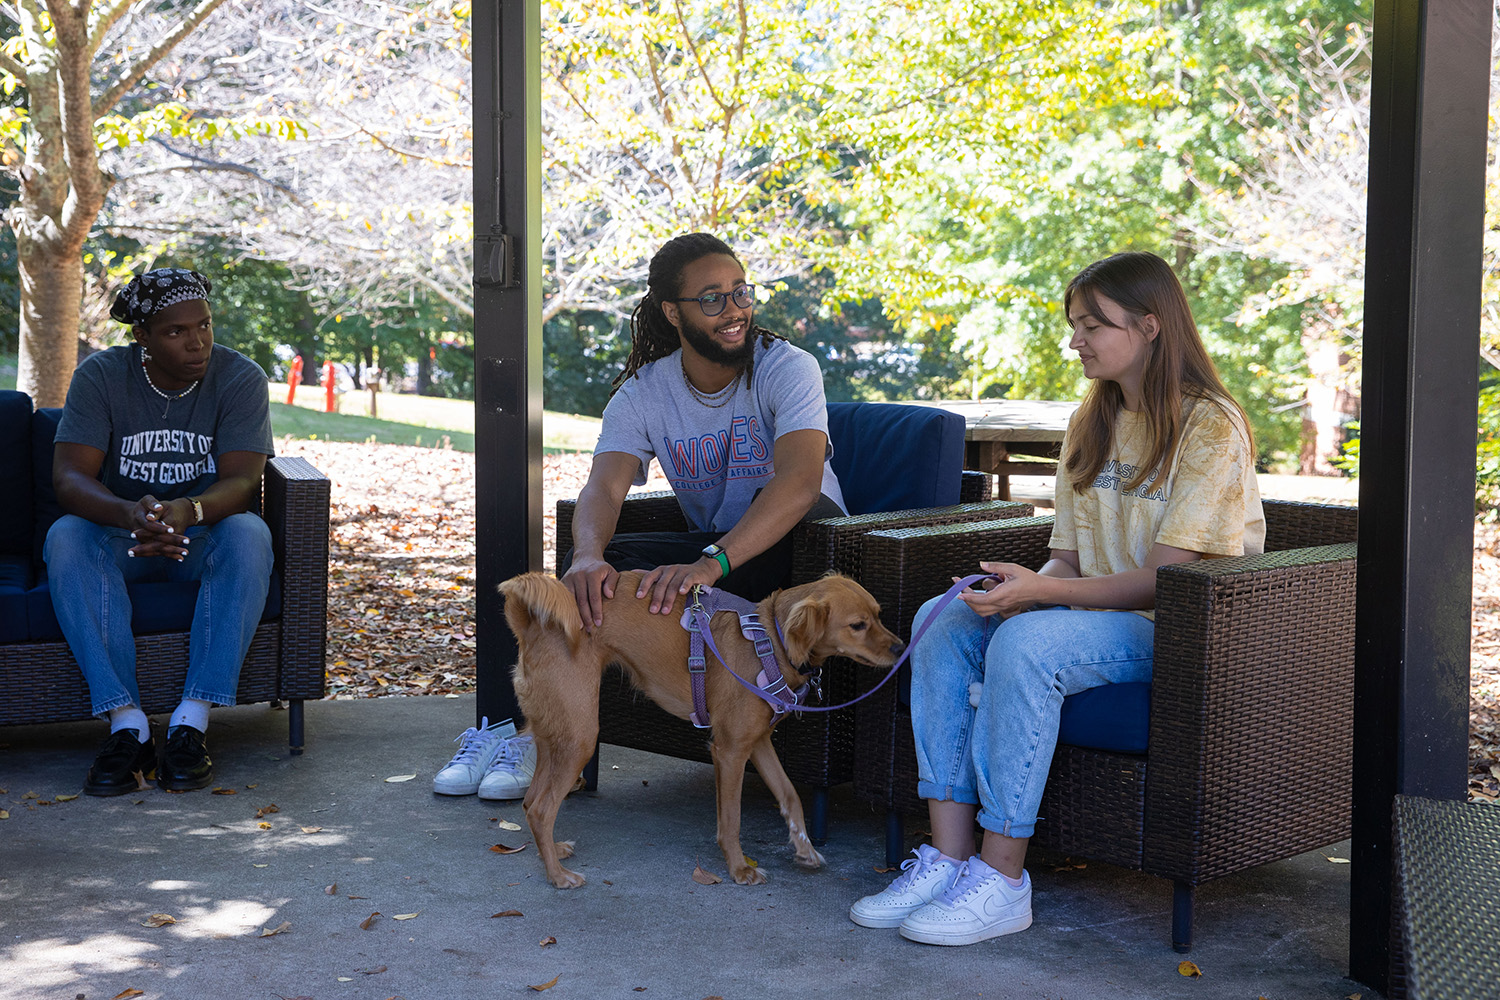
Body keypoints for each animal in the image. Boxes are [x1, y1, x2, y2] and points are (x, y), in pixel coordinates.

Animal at [501, 569, 900, 893]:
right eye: (858, 625)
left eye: (879, 615)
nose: (899, 648)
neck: (771, 638)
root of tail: (532, 626)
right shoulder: (730, 750)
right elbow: (732, 819)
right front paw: (740, 869)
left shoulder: (758, 743)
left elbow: (790, 796)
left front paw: (805, 849)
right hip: (581, 737)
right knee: (542, 809)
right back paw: (557, 876)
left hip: (556, 735)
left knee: (530, 802)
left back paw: (553, 852)